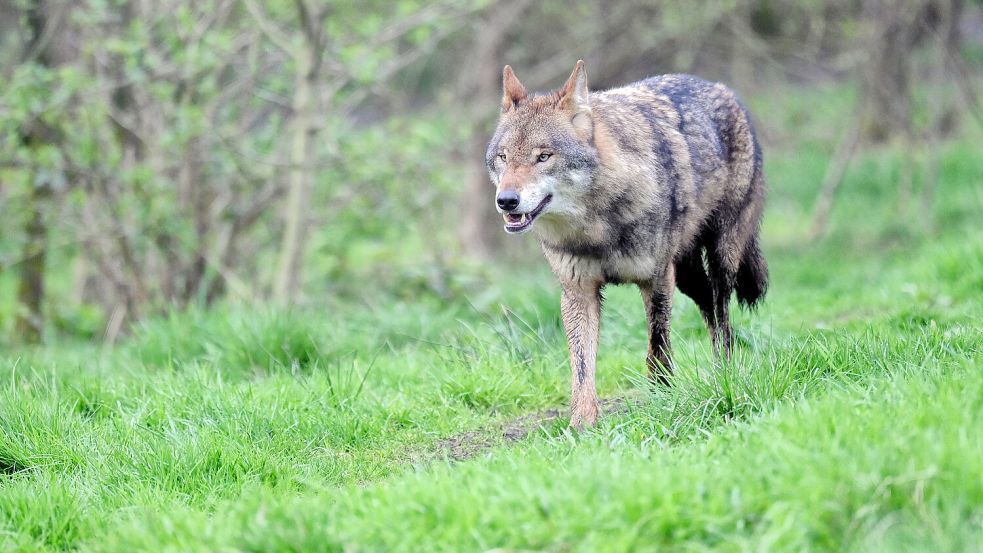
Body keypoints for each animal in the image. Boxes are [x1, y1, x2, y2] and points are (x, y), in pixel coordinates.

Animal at [484, 62, 768, 430]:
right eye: (503, 158)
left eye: (543, 157)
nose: (506, 201)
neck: (597, 229)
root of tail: (722, 89)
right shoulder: (578, 291)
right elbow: (582, 365)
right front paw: (582, 423)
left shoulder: (656, 279)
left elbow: (657, 345)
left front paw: (662, 395)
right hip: (688, 276)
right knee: (709, 307)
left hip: (720, 258)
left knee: (722, 318)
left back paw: (724, 374)